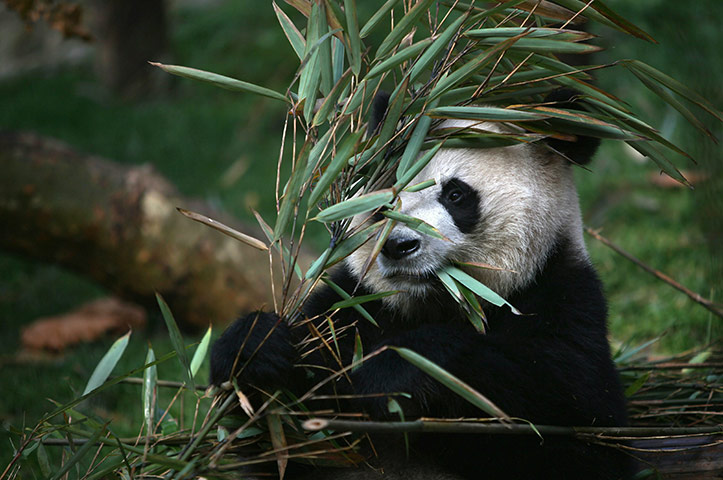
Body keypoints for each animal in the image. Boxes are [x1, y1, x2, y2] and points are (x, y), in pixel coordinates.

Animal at [210, 90, 632, 480]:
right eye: (388, 196)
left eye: (456, 194)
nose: (399, 245)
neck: (430, 304)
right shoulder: (352, 305)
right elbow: (275, 442)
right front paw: (255, 348)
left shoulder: (560, 298)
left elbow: (578, 427)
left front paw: (393, 371)